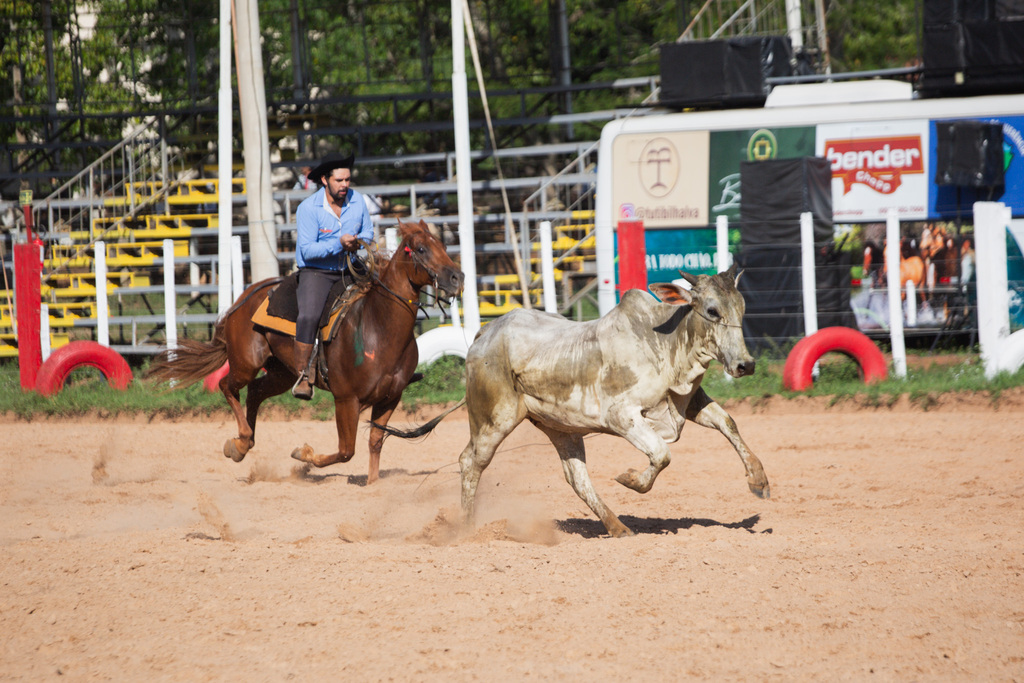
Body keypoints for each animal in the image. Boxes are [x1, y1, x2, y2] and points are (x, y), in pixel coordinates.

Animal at [146, 218, 466, 481]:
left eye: (443, 245)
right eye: (421, 249)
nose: (457, 278)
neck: (378, 327)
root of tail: (245, 297)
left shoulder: (390, 398)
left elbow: (374, 443)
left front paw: (372, 484)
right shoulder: (346, 400)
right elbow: (346, 450)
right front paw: (304, 454)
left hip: (282, 373)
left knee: (256, 391)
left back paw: (243, 444)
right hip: (246, 363)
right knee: (227, 385)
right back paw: (240, 440)